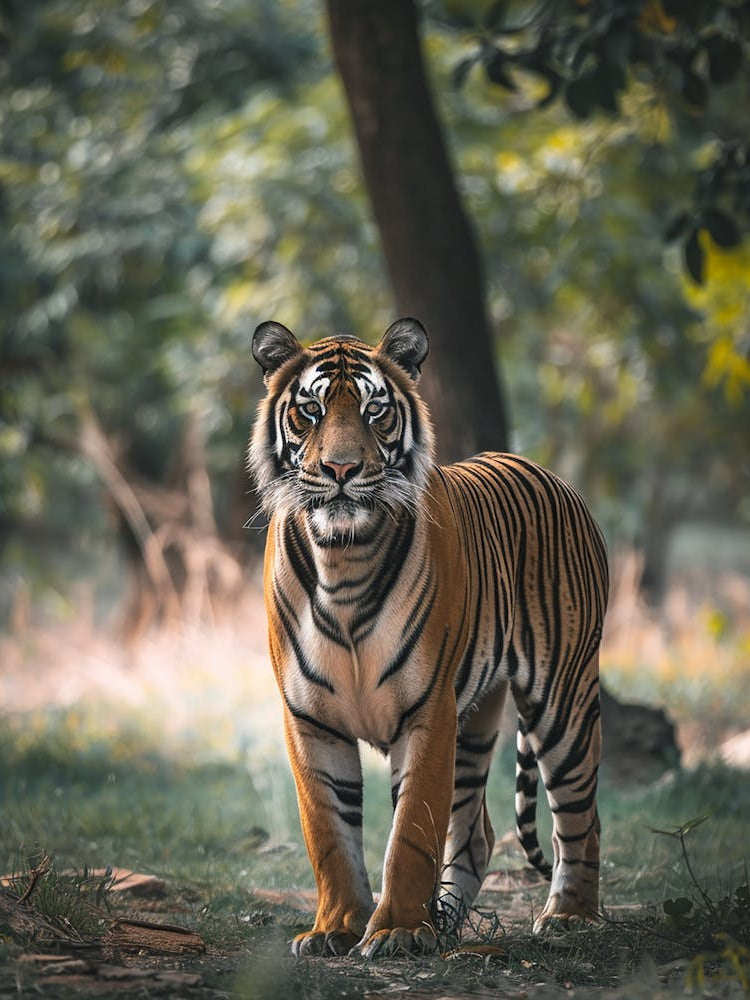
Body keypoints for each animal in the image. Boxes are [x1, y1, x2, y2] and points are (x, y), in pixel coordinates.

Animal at [248, 317, 608, 959]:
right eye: (311, 410)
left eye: (374, 412)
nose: (341, 470)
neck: (342, 558)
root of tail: (548, 473)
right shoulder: (309, 718)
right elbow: (329, 831)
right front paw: (336, 927)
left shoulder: (428, 709)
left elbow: (412, 830)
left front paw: (395, 931)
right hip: (479, 716)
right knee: (478, 832)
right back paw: (447, 921)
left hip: (562, 700)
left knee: (580, 817)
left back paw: (568, 917)